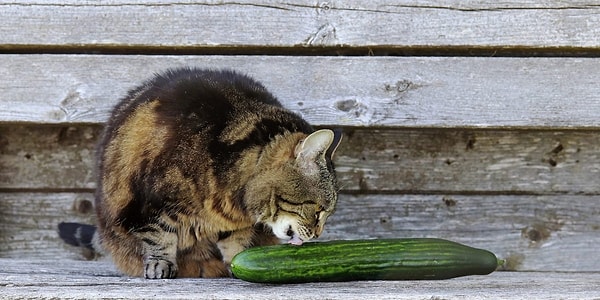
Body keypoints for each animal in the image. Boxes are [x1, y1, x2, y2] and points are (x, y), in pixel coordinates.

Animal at [61, 68, 344, 278]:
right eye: (318, 210)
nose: (318, 234)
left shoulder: (235, 223)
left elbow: (236, 242)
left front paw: (237, 261)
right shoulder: (148, 204)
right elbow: (158, 236)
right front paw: (160, 264)